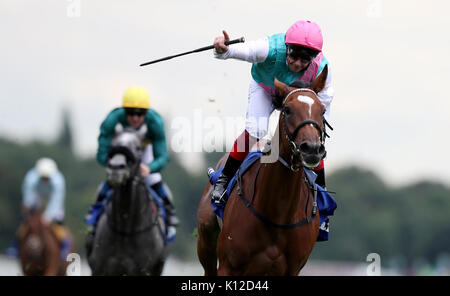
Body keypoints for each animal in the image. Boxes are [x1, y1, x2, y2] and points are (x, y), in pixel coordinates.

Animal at [87, 124, 170, 276]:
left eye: (138, 147)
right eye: (113, 145)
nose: (116, 168)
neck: (125, 230)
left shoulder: (143, 270)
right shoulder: (99, 269)